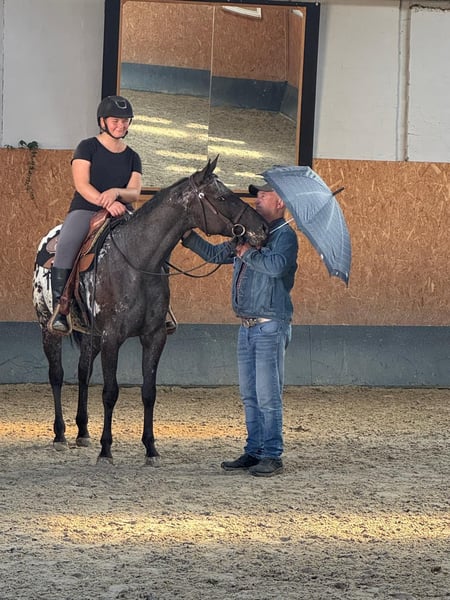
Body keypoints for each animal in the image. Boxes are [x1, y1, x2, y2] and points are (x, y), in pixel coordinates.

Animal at [32, 157, 269, 465]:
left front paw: (151, 449)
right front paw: (106, 450)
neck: (137, 261)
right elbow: (110, 392)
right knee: (57, 375)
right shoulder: (112, 338)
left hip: (91, 336)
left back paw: (82, 432)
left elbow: (149, 392)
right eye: (221, 197)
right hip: (48, 327)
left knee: (83, 372)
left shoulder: (154, 337)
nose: (263, 229)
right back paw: (60, 434)